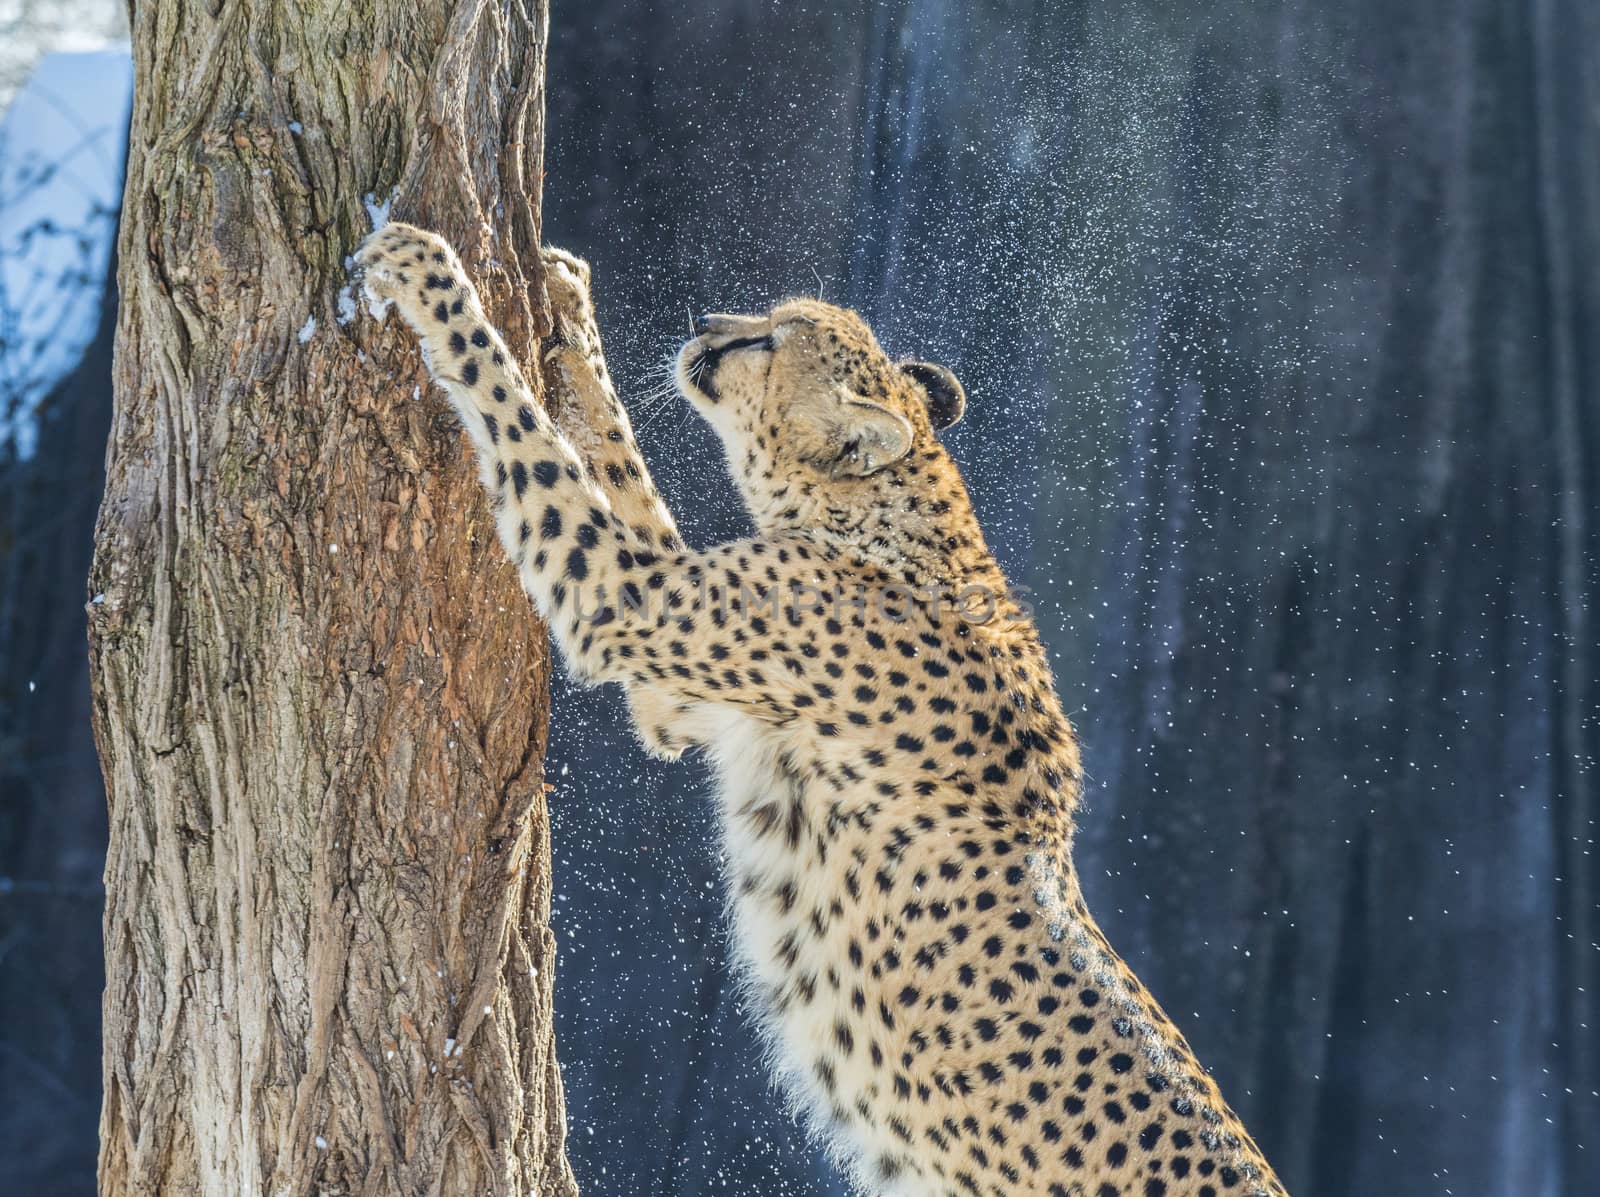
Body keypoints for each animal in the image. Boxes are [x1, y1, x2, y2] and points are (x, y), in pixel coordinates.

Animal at [360, 217, 1286, 1197]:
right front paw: (572, 314)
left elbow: (523, 424)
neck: (893, 513)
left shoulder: (625, 600)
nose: (704, 321)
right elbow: (612, 452)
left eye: (769, 340)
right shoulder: (681, 690)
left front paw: (430, 276)